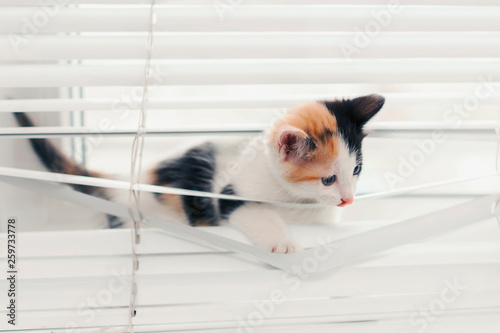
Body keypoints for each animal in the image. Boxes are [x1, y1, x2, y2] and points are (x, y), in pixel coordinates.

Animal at [14, 94, 382, 253]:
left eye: (357, 170)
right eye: (328, 179)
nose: (348, 200)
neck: (296, 200)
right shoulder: (230, 194)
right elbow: (255, 214)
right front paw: (283, 243)